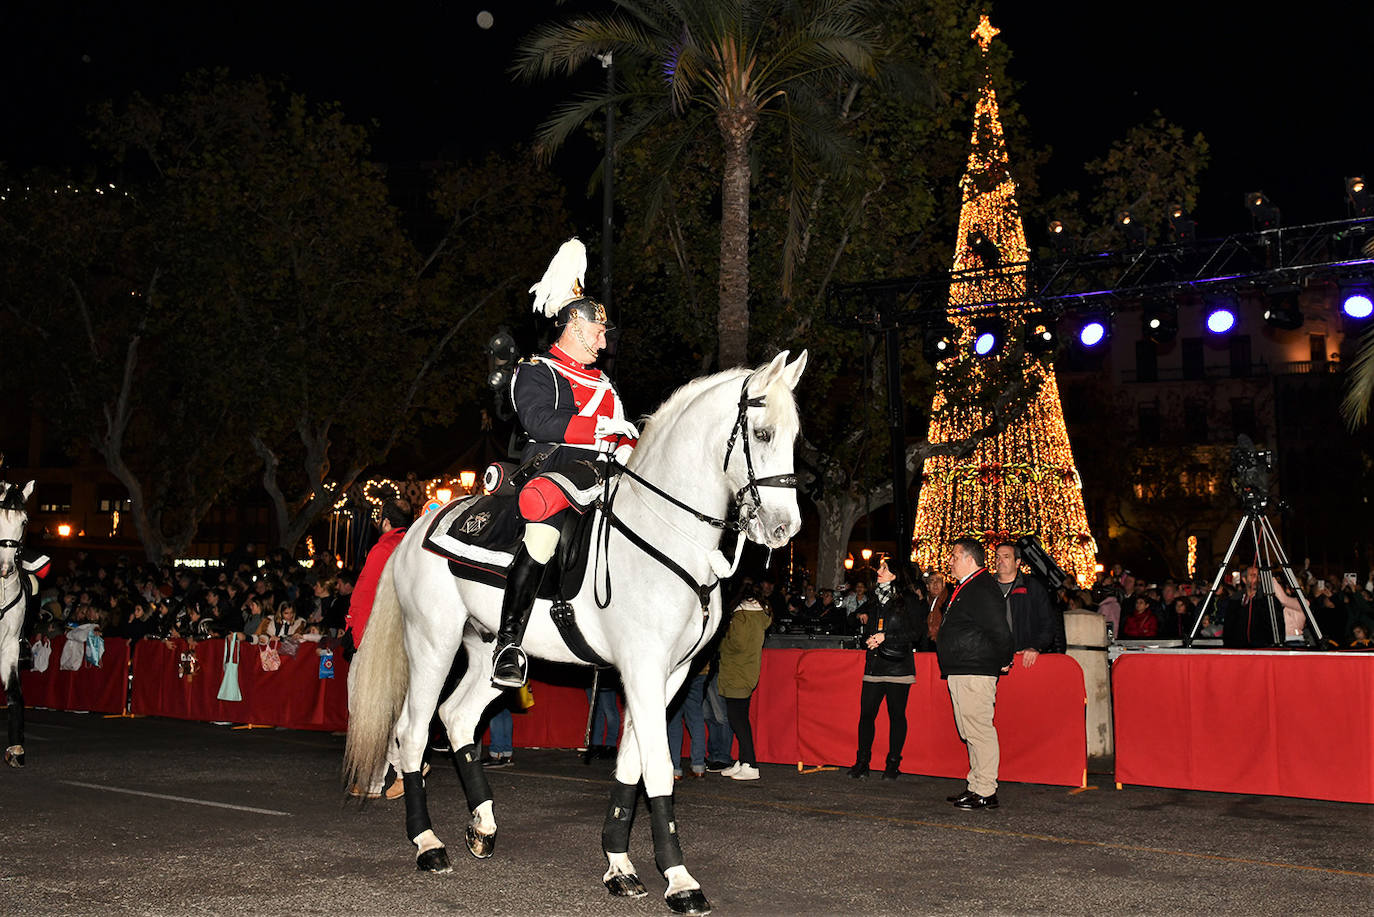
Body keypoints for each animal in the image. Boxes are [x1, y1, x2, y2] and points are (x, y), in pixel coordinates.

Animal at [343, 349, 807, 912]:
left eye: (794, 436)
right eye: (762, 434)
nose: (784, 529)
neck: (665, 535)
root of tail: (419, 527)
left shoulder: (668, 676)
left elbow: (631, 765)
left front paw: (619, 864)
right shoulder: (643, 669)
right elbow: (657, 766)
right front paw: (678, 879)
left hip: (487, 648)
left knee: (457, 717)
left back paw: (483, 824)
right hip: (433, 642)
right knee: (412, 731)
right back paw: (428, 843)